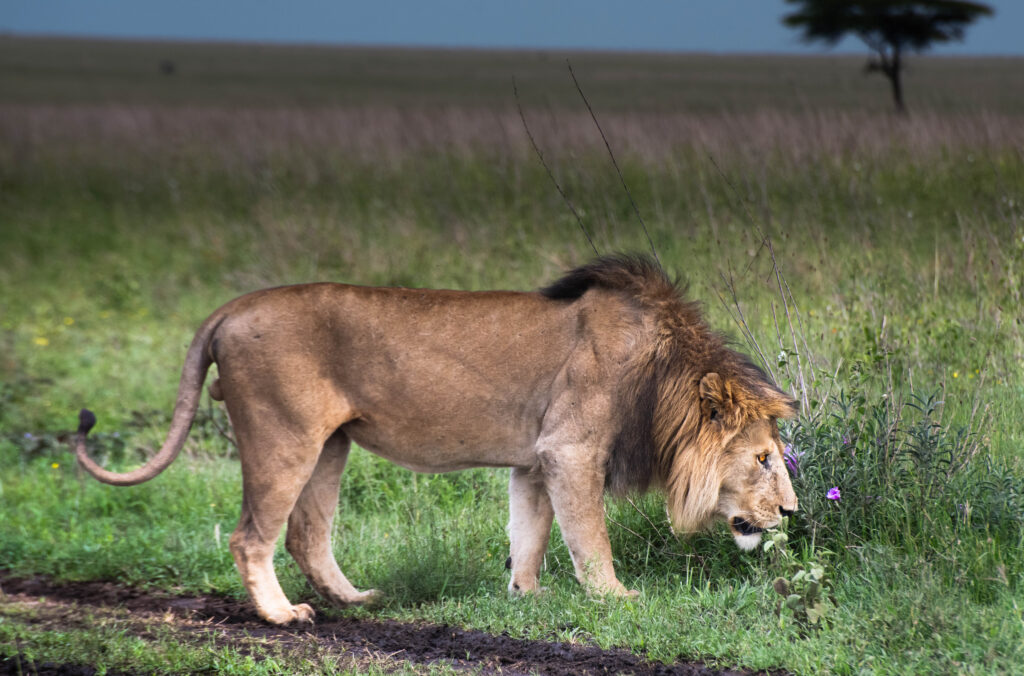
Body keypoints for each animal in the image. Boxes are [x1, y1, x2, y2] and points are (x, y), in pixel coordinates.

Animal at [74, 254, 798, 625]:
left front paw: (527, 596)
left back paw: (353, 599)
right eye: (764, 459)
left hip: (330, 444)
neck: (664, 375)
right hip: (282, 436)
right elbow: (589, 536)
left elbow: (529, 531)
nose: (792, 512)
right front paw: (613, 598)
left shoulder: (535, 460)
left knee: (307, 533)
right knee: (251, 535)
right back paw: (282, 615)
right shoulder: (571, 450)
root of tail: (230, 307)